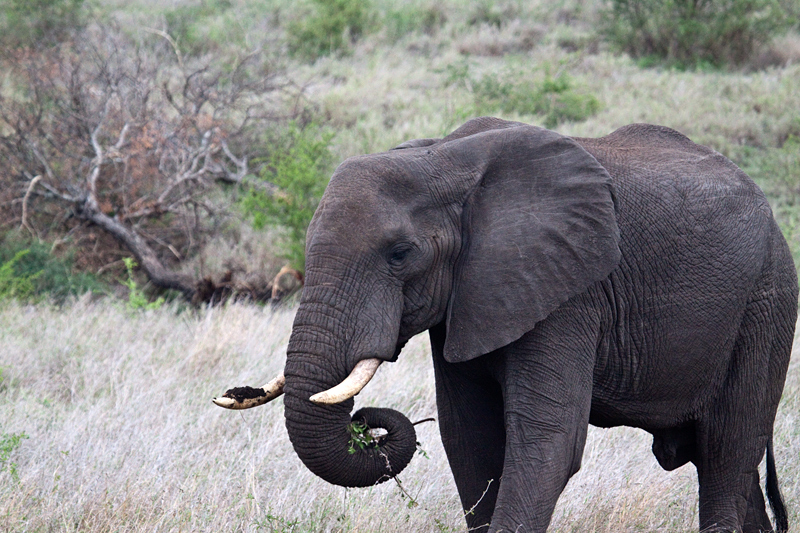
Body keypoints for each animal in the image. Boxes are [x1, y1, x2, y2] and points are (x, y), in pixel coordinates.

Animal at [216, 117, 796, 532]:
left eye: (400, 255)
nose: (367, 420)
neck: (440, 159)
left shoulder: (568, 292)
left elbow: (546, 441)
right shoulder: (464, 303)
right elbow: (468, 436)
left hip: (766, 303)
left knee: (726, 452)